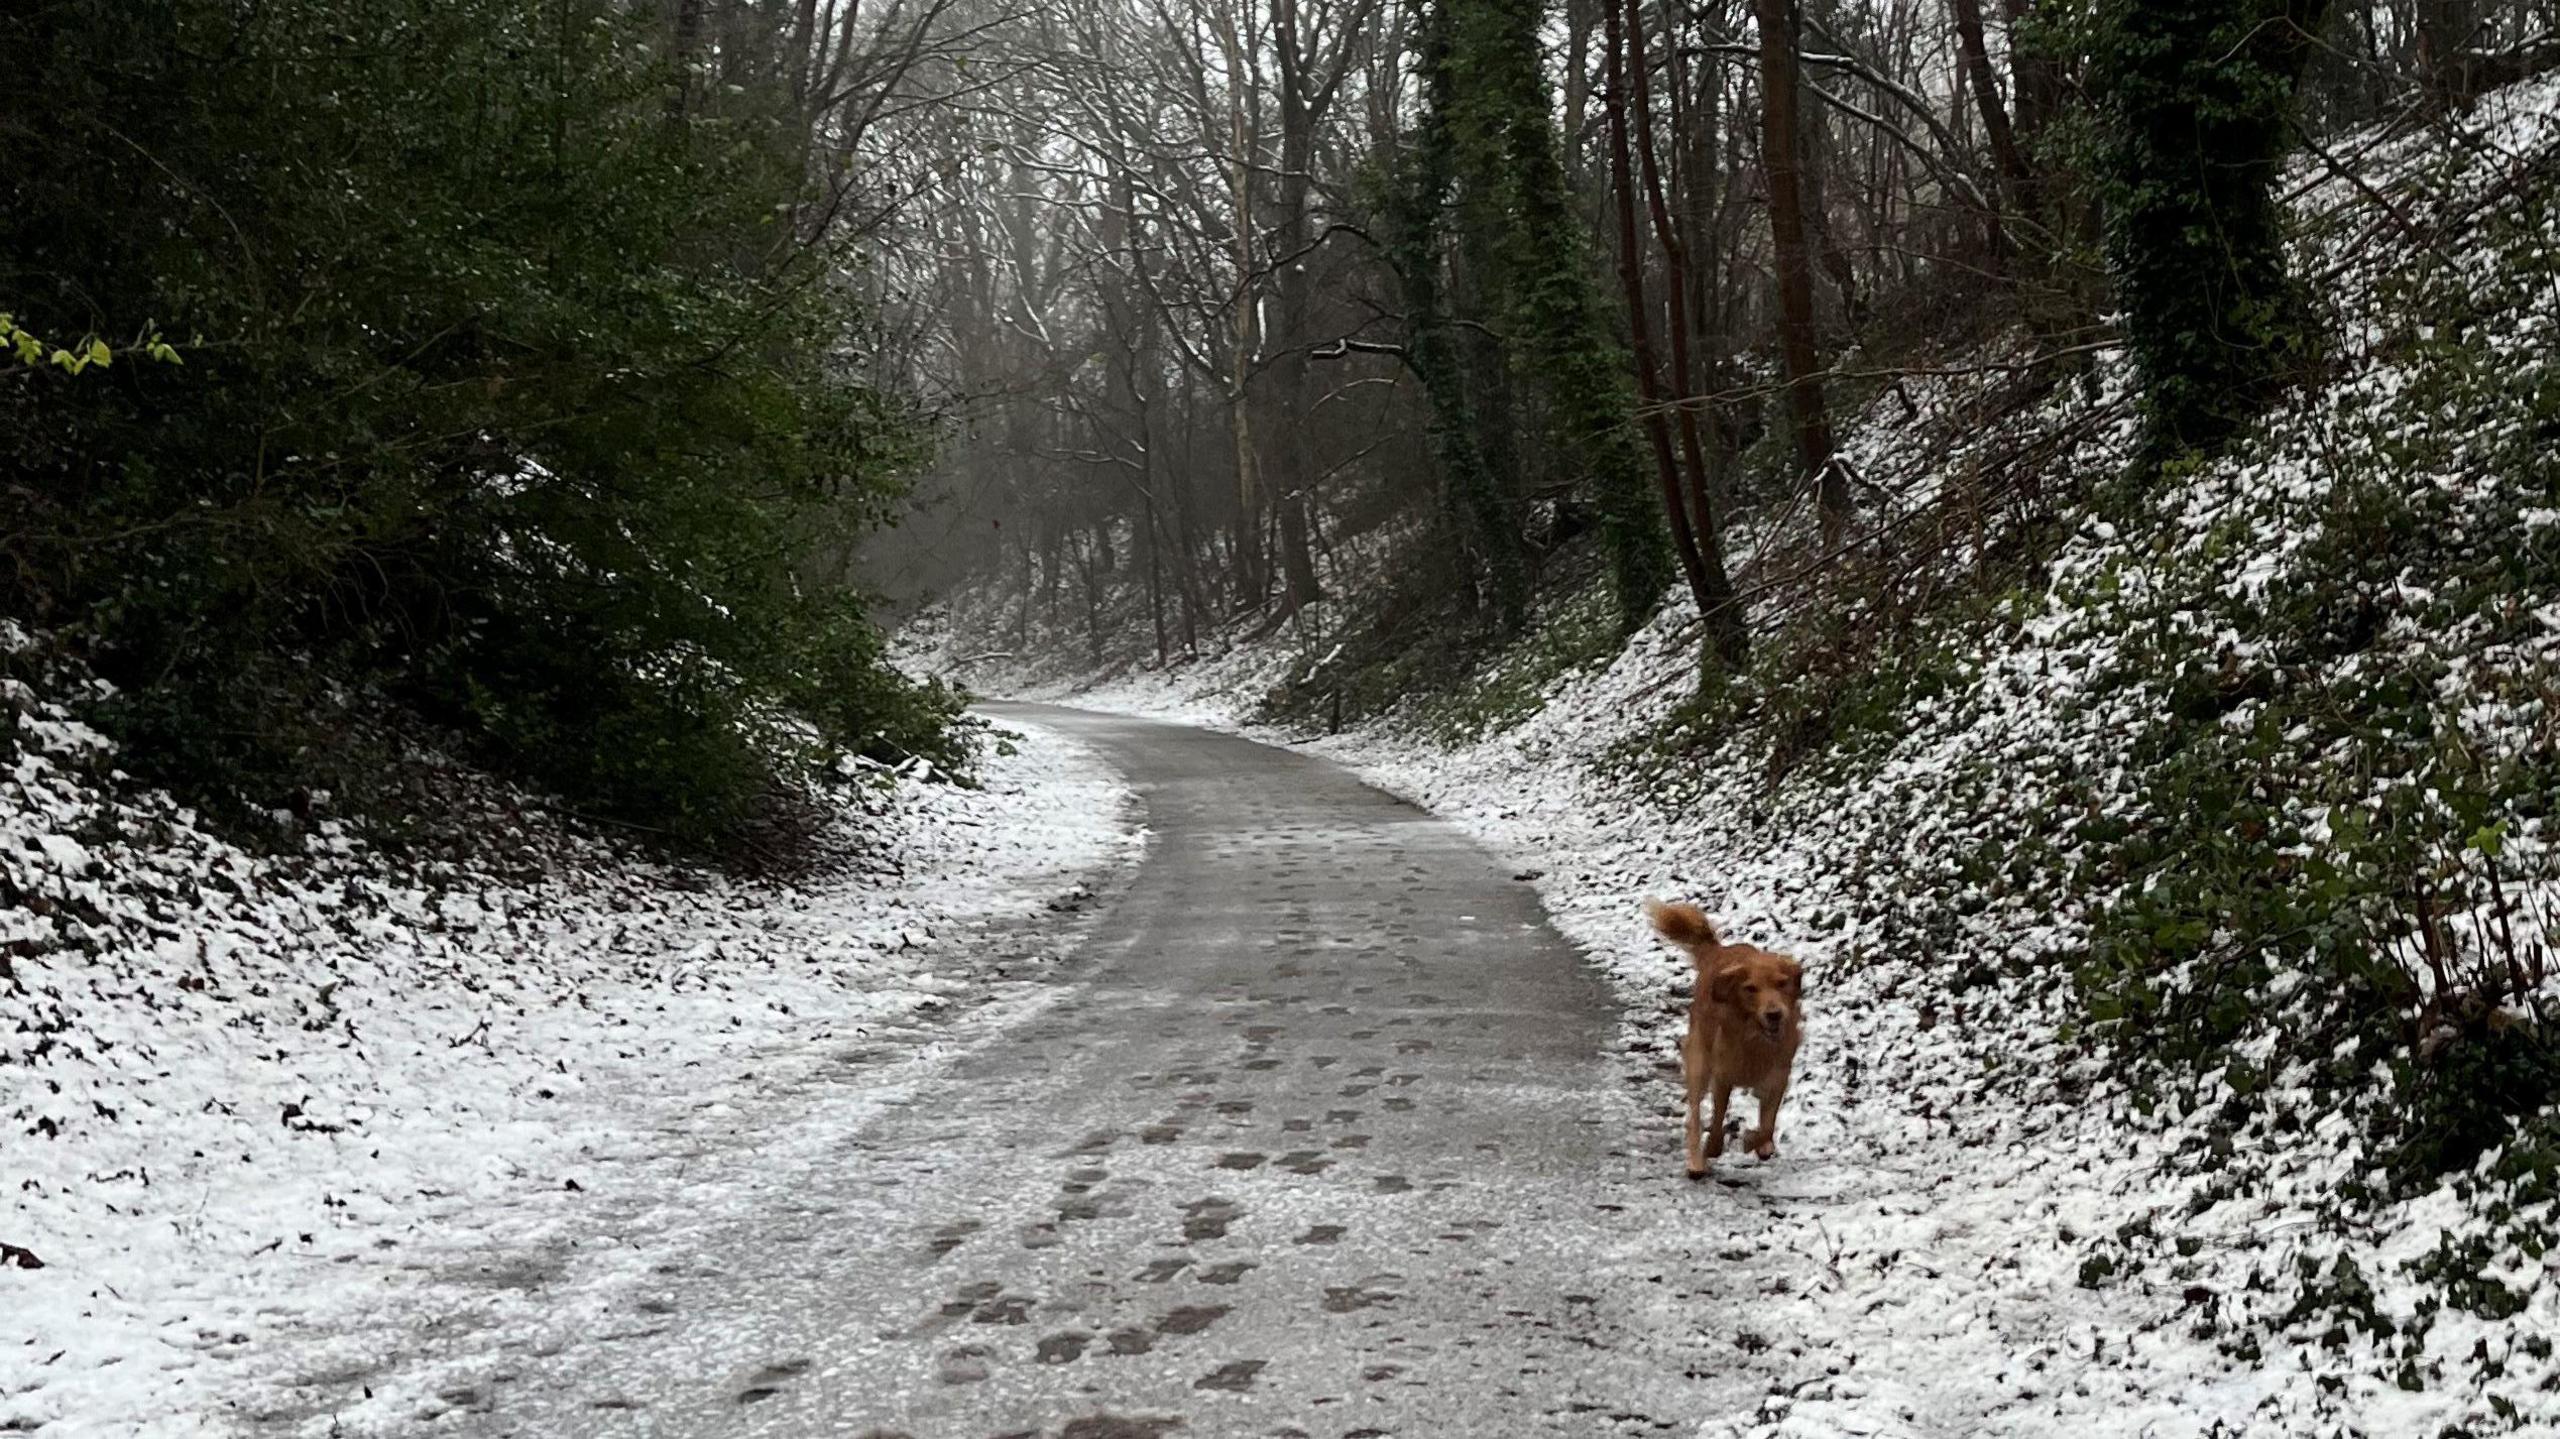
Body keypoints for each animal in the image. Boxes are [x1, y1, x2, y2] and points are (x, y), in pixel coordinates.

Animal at [1638, 896, 1802, 1177]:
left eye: (1782, 983)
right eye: (1750, 988)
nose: (1774, 1014)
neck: (1754, 1038)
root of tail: (1718, 952)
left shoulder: (1777, 1076)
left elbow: (1767, 1126)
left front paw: (1756, 1142)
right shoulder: (1723, 1076)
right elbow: (1716, 1121)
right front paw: (1713, 1148)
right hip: (1699, 1063)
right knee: (1694, 1116)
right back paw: (1696, 1162)